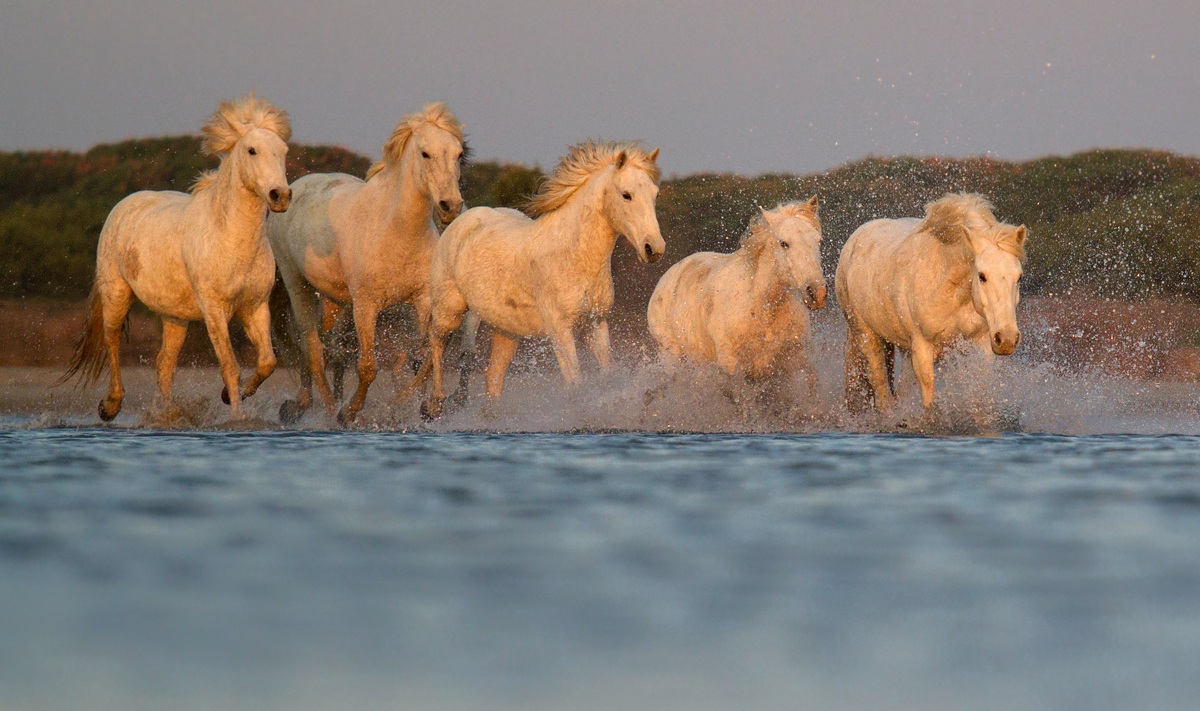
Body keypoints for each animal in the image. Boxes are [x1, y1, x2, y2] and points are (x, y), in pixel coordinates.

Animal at [61, 94, 292, 421]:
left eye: (283, 152)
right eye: (252, 150)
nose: (280, 196)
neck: (231, 239)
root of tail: (124, 205)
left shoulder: (255, 307)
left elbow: (267, 363)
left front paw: (231, 397)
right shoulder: (213, 309)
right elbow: (230, 366)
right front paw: (237, 417)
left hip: (174, 316)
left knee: (164, 365)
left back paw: (169, 415)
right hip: (116, 294)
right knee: (112, 341)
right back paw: (110, 407)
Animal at [266, 102, 466, 424]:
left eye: (459, 154)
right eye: (425, 153)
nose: (451, 206)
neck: (396, 230)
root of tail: (294, 188)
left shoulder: (423, 299)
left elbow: (426, 354)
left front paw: (424, 406)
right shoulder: (366, 305)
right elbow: (368, 367)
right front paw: (349, 412)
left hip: (336, 300)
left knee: (329, 351)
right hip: (297, 284)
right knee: (312, 348)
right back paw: (322, 410)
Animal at [421, 141, 665, 419]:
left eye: (655, 195)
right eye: (626, 195)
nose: (654, 249)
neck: (573, 257)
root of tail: (461, 220)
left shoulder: (595, 325)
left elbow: (607, 375)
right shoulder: (560, 329)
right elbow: (576, 382)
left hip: (506, 331)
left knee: (493, 378)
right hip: (449, 310)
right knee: (436, 342)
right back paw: (434, 404)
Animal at [647, 197, 827, 394]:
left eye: (818, 241)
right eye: (784, 243)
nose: (817, 293)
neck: (762, 310)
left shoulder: (792, 363)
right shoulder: (732, 368)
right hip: (672, 355)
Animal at [834, 193, 1027, 413]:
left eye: (1019, 277)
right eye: (982, 276)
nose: (1007, 339)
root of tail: (854, 240)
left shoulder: (981, 344)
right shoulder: (922, 350)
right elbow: (929, 404)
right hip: (866, 336)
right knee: (882, 393)